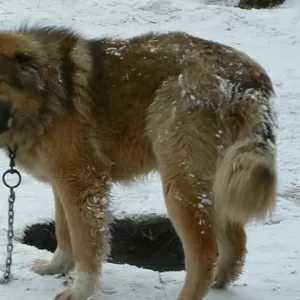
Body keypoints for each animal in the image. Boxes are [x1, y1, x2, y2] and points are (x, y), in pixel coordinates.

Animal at [0, 25, 278, 300]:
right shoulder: (62, 182)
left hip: (181, 181)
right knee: (236, 241)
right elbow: (63, 232)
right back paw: (220, 284)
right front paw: (56, 267)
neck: (45, 94)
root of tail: (249, 80)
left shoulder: (82, 182)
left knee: (206, 253)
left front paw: (80, 290)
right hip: (222, 181)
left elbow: (85, 242)